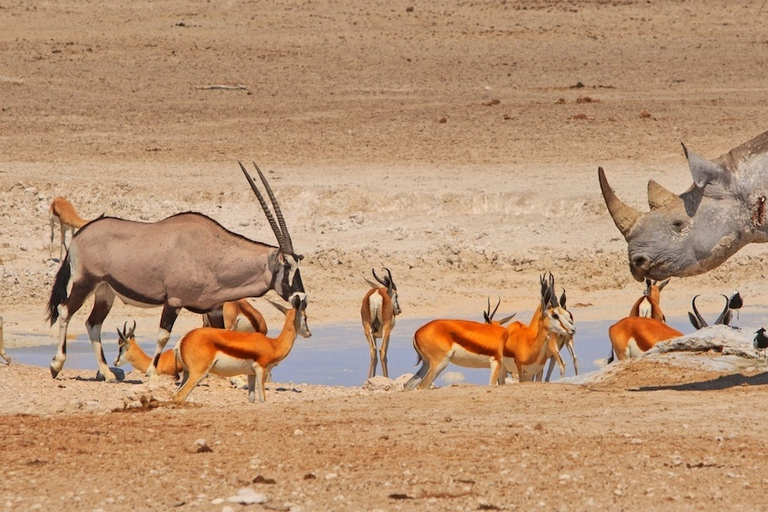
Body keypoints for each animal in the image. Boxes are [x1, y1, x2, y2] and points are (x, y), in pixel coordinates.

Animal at [45, 162, 306, 382]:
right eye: (286, 265)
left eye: (298, 264)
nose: (301, 299)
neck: (213, 253)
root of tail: (80, 235)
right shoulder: (173, 301)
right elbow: (163, 334)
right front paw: (152, 372)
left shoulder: (213, 308)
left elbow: (220, 335)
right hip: (85, 283)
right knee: (65, 310)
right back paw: (57, 365)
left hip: (105, 291)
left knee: (93, 323)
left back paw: (108, 374)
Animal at [173, 292, 308, 404]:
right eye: (305, 317)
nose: (309, 333)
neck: (273, 344)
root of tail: (183, 339)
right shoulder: (261, 369)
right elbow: (263, 399)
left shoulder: (251, 374)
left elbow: (252, 398)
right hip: (198, 374)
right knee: (180, 396)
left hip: (187, 374)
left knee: (175, 394)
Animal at [404, 274, 572, 390]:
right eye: (554, 314)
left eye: (567, 314)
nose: (571, 330)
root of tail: (417, 332)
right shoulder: (497, 364)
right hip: (439, 363)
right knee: (422, 387)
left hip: (427, 364)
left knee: (408, 385)